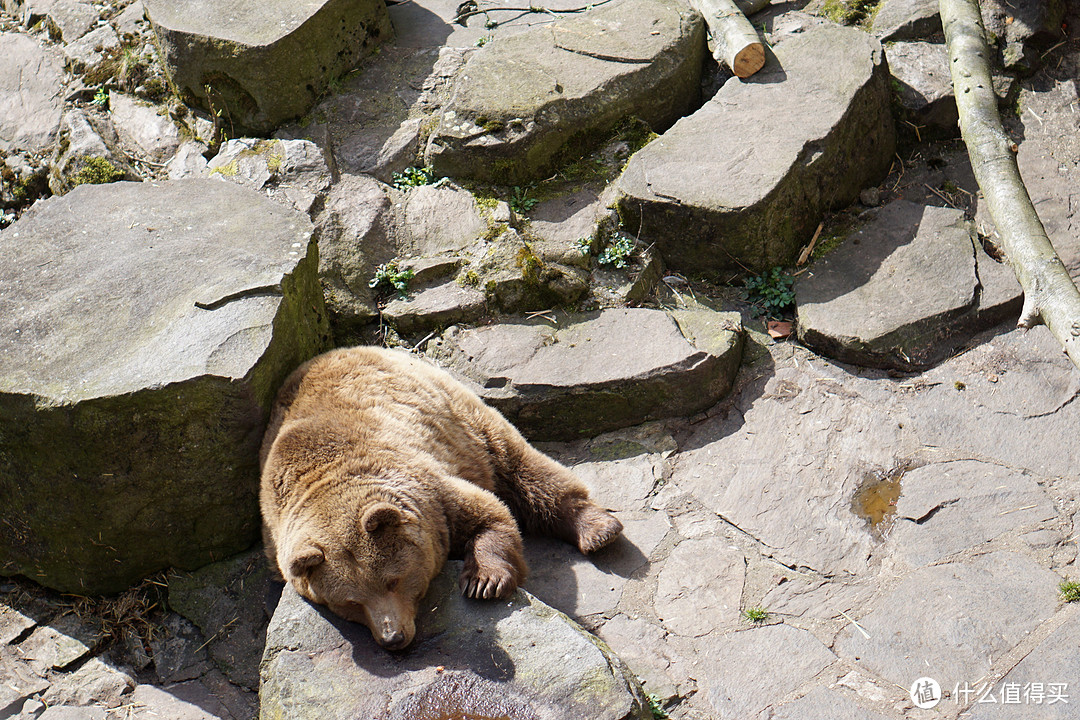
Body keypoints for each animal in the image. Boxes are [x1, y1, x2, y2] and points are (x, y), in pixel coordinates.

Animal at [255, 345, 622, 651]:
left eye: (392, 581)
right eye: (350, 602)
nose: (392, 637)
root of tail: (338, 350)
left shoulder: (430, 492)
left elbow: (490, 513)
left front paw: (483, 582)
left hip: (459, 418)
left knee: (521, 465)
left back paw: (598, 529)